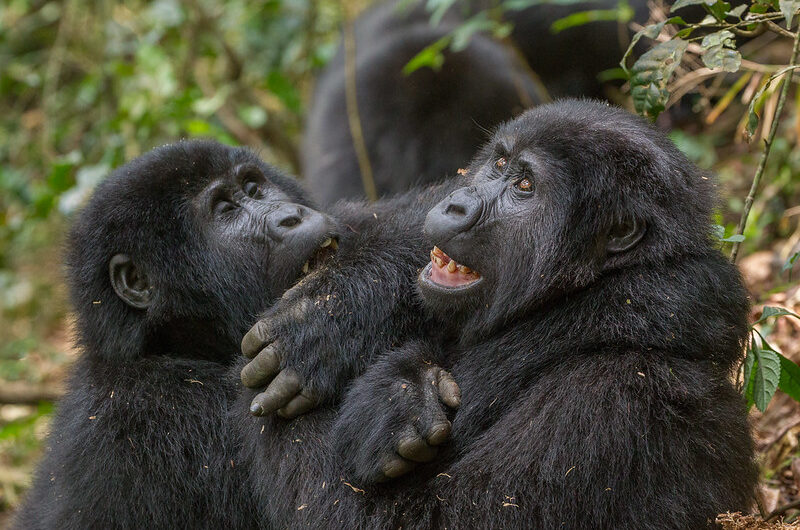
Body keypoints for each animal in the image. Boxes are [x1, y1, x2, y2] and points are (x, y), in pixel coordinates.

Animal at [241, 100, 760, 528]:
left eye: (525, 186)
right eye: (499, 164)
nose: (456, 204)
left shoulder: (621, 396)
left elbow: (438, 516)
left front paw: (389, 392)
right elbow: (369, 219)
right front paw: (335, 319)